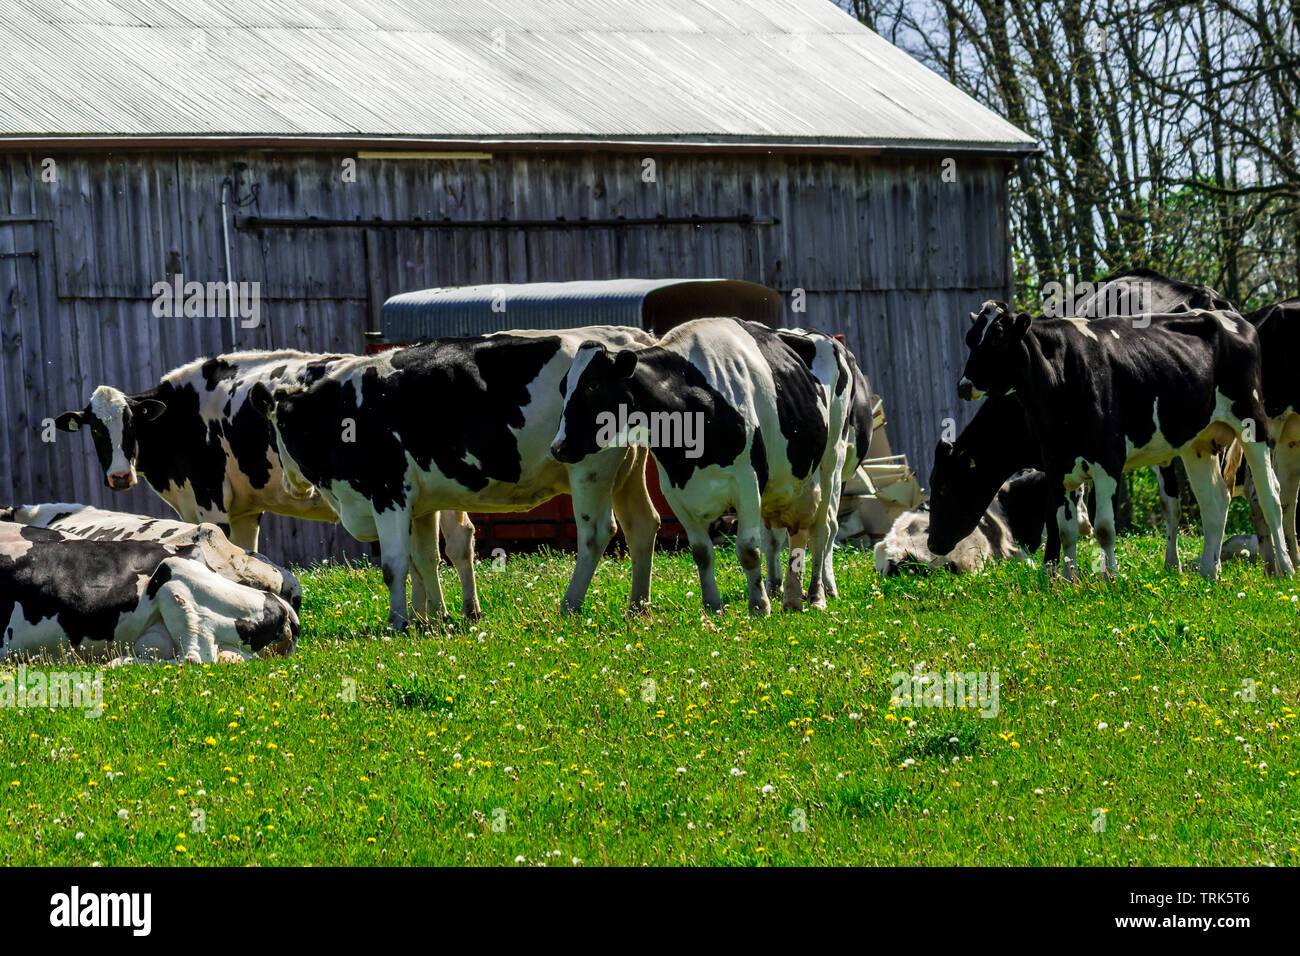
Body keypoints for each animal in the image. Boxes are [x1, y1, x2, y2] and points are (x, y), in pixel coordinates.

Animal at [53, 350, 476, 620]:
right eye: (95, 429)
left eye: (131, 423)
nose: (119, 476)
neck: (183, 415)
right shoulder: (244, 511)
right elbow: (244, 555)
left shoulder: (210, 502)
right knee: (448, 544)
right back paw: (453, 614)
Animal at [249, 328, 660, 628]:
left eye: (276, 427)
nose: (289, 484)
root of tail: (629, 340)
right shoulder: (418, 504)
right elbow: (425, 559)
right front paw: (432, 616)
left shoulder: (388, 495)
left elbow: (394, 565)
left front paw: (397, 622)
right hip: (626, 471)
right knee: (642, 524)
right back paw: (637, 606)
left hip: (590, 467)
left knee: (595, 533)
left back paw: (570, 604)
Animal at [550, 317, 838, 616]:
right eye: (563, 388)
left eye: (593, 385)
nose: (558, 447)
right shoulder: (675, 490)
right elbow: (701, 552)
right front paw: (712, 607)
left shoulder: (748, 481)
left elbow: (748, 551)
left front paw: (759, 607)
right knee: (796, 530)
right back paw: (792, 598)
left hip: (829, 464)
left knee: (821, 529)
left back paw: (816, 596)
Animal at [956, 300, 1293, 580]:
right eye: (970, 339)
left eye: (998, 336)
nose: (964, 385)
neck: (1061, 377)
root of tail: (1231, 317)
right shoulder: (1056, 465)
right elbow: (1065, 530)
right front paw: (1067, 580)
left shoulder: (1108, 460)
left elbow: (1105, 528)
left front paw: (1111, 578)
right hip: (1197, 444)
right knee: (1215, 500)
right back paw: (1209, 573)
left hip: (1253, 423)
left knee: (1271, 498)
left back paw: (1285, 568)